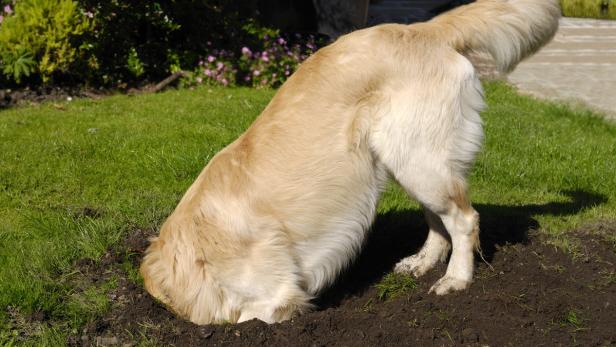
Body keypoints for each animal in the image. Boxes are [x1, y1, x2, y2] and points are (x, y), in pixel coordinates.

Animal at [142, 0, 560, 326]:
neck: (195, 248)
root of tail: (424, 29)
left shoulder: (278, 295)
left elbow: (254, 316)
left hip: (418, 159)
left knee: (464, 219)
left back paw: (456, 279)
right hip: (409, 159)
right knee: (437, 220)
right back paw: (422, 263)